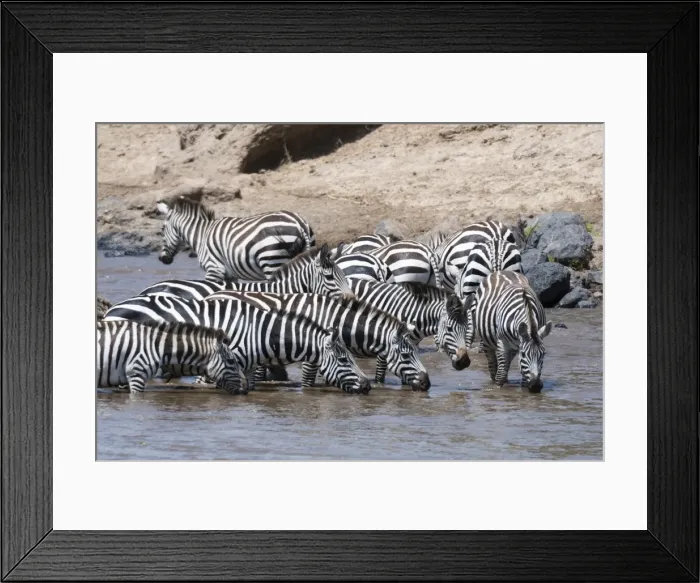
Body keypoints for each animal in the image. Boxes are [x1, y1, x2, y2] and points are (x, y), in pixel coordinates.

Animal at [156, 192, 316, 282]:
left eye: (162, 229)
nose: (162, 259)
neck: (201, 234)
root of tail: (299, 223)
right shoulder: (229, 275)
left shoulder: (214, 268)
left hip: (272, 261)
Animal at [206, 291, 431, 391]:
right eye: (406, 356)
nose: (427, 384)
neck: (336, 320)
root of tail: (212, 295)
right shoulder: (311, 356)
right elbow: (308, 383)